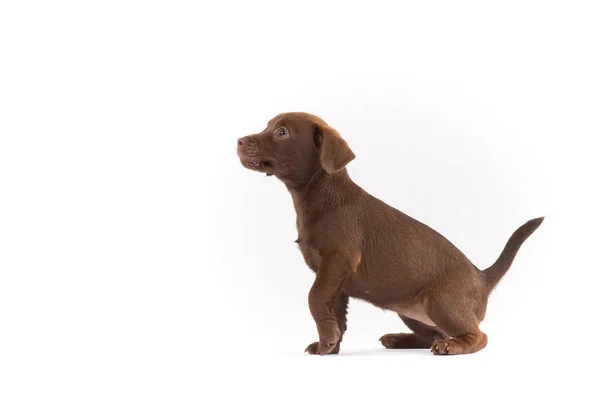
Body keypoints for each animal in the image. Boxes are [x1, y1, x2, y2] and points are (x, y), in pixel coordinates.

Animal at [237, 112, 540, 356]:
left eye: (282, 132)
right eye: (268, 126)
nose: (239, 141)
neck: (317, 197)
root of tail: (482, 277)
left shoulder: (338, 260)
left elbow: (315, 297)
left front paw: (328, 339)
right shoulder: (337, 279)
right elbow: (334, 310)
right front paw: (331, 343)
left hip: (441, 302)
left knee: (477, 336)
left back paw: (450, 346)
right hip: (412, 312)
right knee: (434, 333)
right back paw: (400, 339)